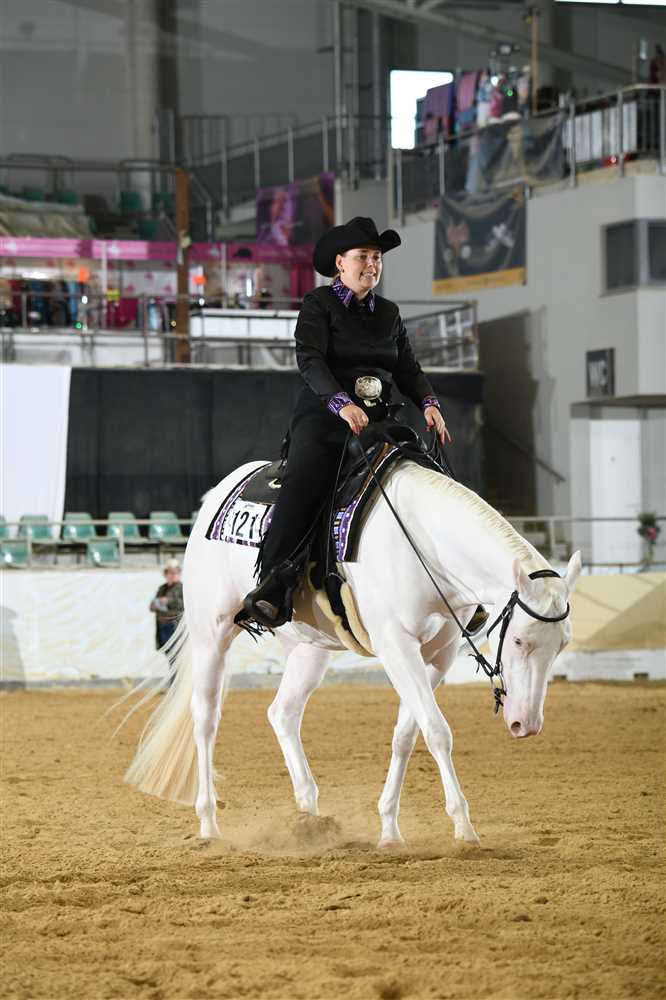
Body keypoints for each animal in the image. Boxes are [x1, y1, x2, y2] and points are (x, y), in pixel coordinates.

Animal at [124, 458, 581, 847]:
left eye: (562, 644)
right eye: (519, 641)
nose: (527, 724)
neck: (423, 544)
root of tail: (216, 494)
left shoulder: (438, 654)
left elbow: (407, 734)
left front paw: (390, 829)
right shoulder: (396, 644)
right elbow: (437, 730)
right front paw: (464, 827)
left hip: (308, 648)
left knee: (282, 714)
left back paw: (309, 818)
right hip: (211, 632)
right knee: (205, 719)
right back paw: (209, 824)